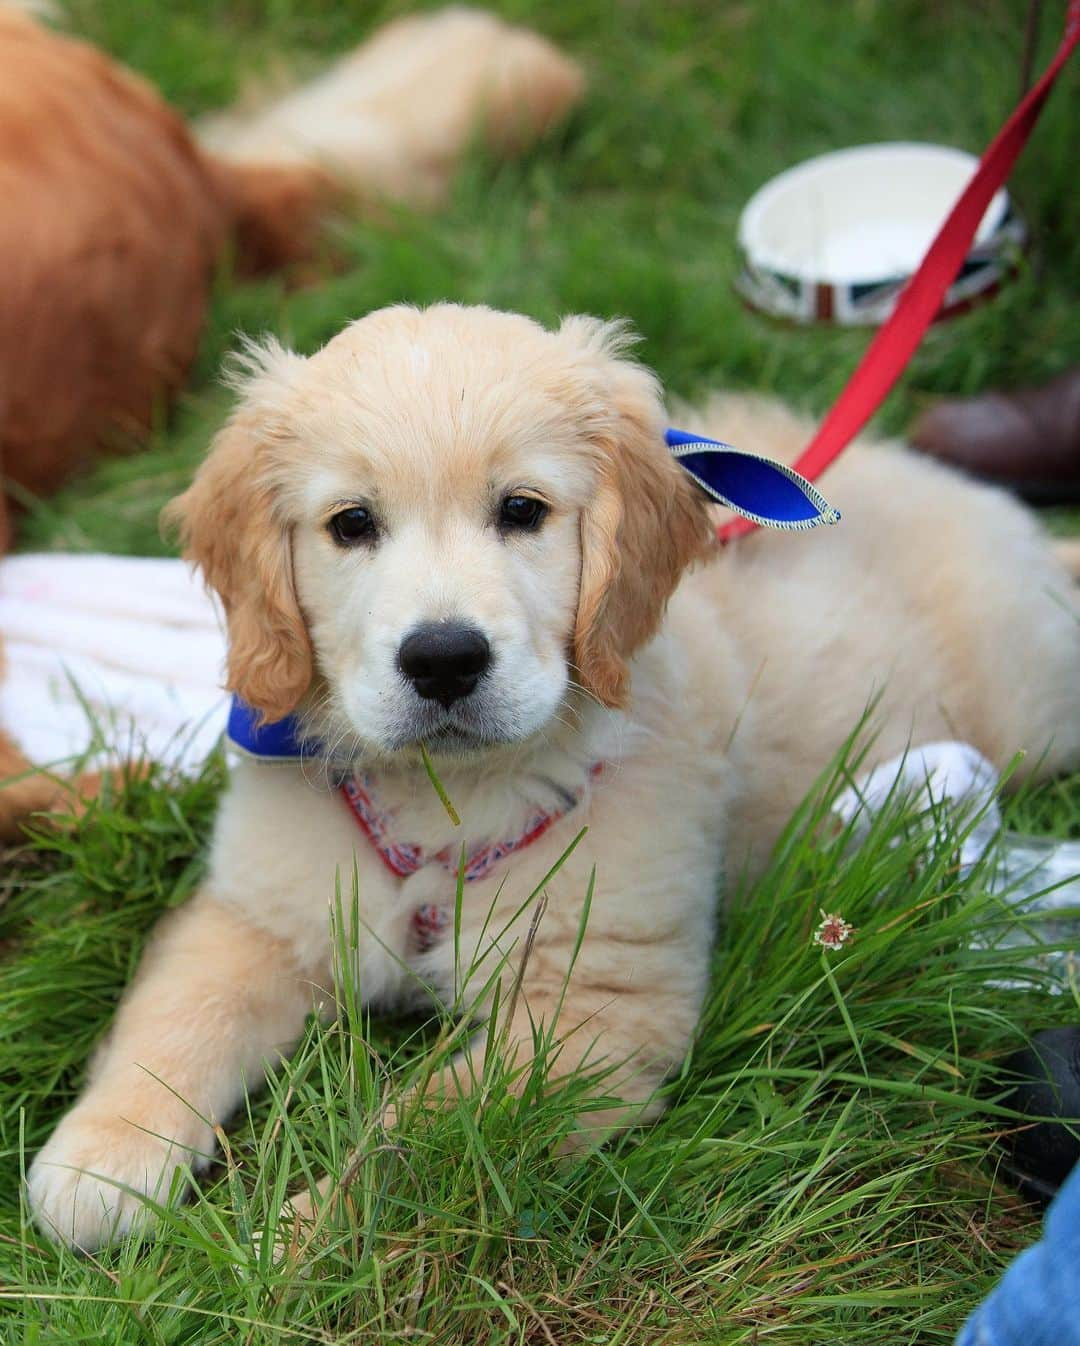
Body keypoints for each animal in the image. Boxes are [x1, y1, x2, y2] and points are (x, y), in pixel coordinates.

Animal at [27, 305, 1077, 1249]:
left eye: (522, 511)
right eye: (351, 524)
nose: (443, 660)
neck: (448, 796)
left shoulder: (594, 1008)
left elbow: (426, 1137)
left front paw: (297, 1240)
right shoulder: (259, 914)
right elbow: (179, 1018)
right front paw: (101, 1162)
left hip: (1027, 705)